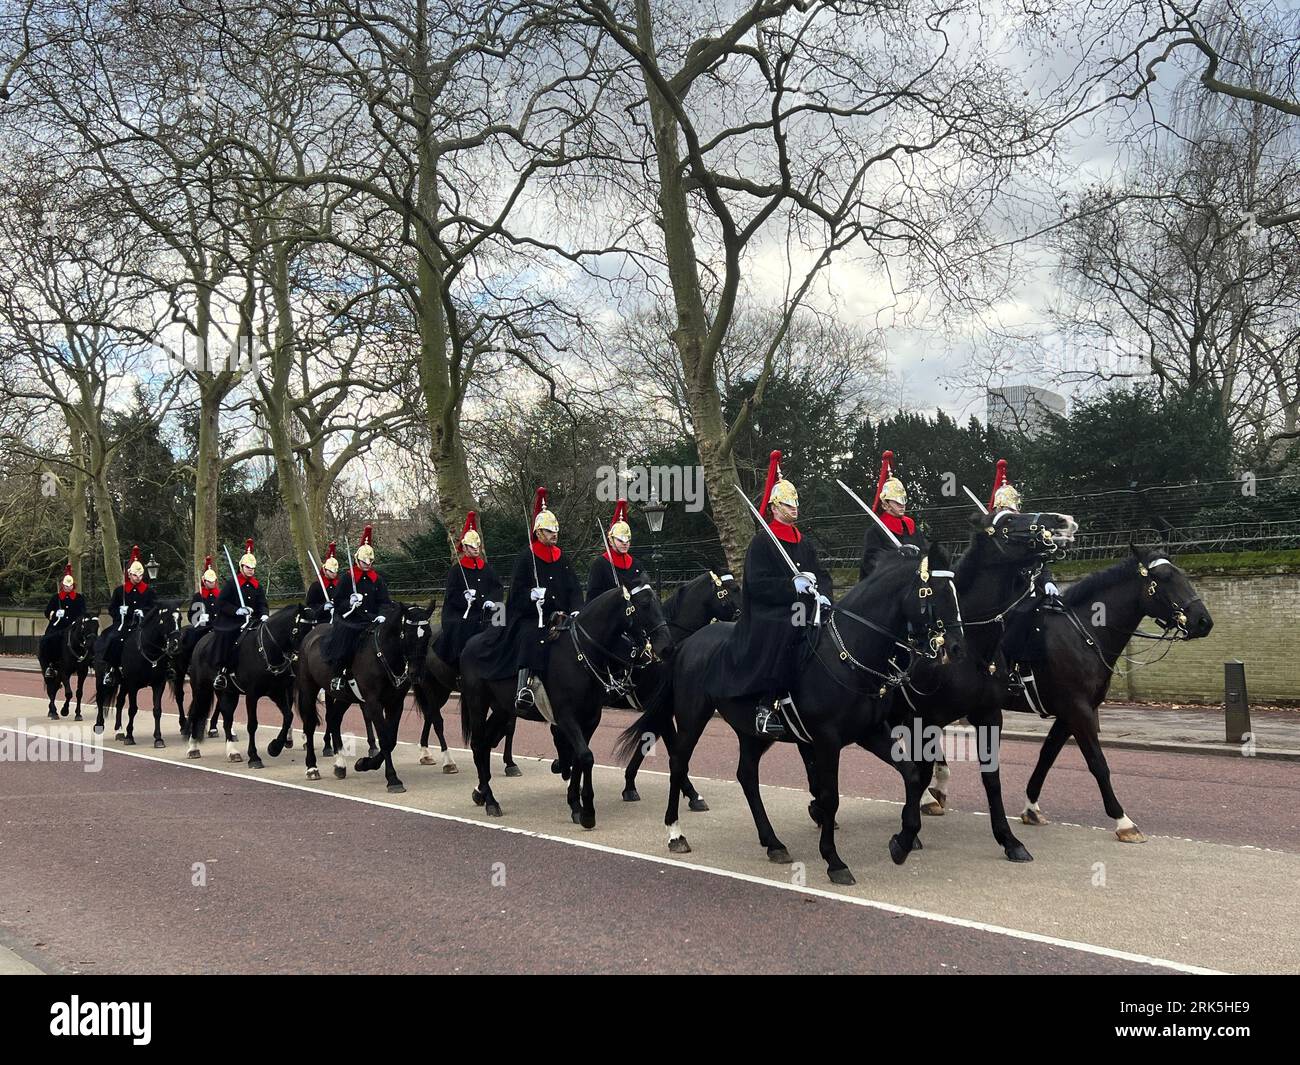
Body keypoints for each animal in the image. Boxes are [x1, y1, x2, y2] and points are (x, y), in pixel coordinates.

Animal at [91, 600, 182, 749]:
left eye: (179, 619)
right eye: (166, 619)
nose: (176, 645)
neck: (148, 651)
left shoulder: (158, 684)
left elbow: (157, 710)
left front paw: (158, 739)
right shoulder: (133, 685)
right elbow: (132, 709)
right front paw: (130, 736)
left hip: (123, 683)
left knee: (120, 702)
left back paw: (119, 730)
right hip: (101, 679)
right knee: (100, 699)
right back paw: (99, 725)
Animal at [293, 600, 431, 790]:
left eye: (428, 635)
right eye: (408, 634)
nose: (416, 674)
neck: (383, 656)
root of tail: (310, 636)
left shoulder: (395, 703)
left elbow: (392, 739)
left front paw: (365, 764)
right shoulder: (373, 702)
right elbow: (385, 739)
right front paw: (392, 779)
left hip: (344, 697)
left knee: (334, 719)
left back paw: (340, 764)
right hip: (309, 689)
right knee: (310, 724)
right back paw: (312, 768)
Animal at [457, 587, 676, 827]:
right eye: (644, 605)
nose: (667, 647)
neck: (581, 655)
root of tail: (469, 644)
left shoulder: (590, 719)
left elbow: (579, 758)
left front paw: (576, 805)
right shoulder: (566, 717)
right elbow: (586, 756)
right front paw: (588, 812)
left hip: (502, 709)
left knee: (487, 743)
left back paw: (482, 792)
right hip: (477, 703)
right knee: (478, 744)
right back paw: (491, 800)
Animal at [618, 546, 967, 889]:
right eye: (932, 592)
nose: (956, 647)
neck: (848, 653)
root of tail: (687, 643)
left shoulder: (870, 733)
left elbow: (911, 775)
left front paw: (902, 842)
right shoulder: (827, 740)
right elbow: (830, 796)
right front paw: (834, 861)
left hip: (752, 732)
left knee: (747, 775)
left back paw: (773, 843)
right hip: (693, 717)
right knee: (678, 763)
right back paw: (675, 832)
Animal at [1019, 548, 1211, 842]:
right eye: (1165, 578)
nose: (1204, 621)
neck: (1083, 633)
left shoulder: (1070, 712)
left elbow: (1048, 754)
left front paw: (1031, 807)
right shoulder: (1078, 710)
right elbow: (1098, 763)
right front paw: (1123, 820)